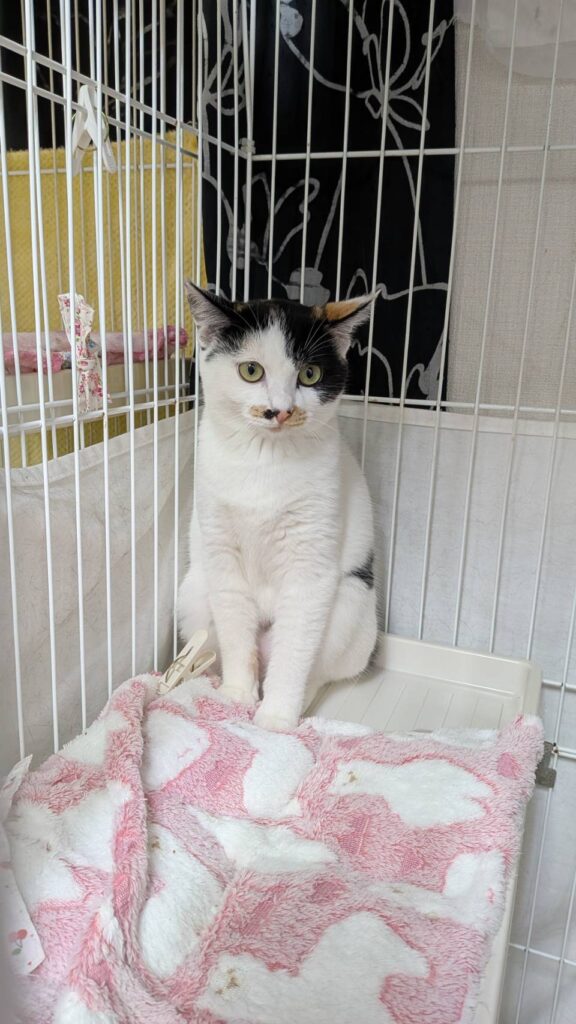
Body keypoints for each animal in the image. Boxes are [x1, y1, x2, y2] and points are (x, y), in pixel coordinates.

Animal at [178, 282, 378, 731]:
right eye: (251, 371)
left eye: (310, 374)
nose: (281, 410)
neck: (264, 459)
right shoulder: (221, 553)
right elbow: (235, 627)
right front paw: (237, 694)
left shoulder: (311, 567)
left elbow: (297, 647)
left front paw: (276, 718)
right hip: (193, 592)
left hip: (353, 603)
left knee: (317, 666)